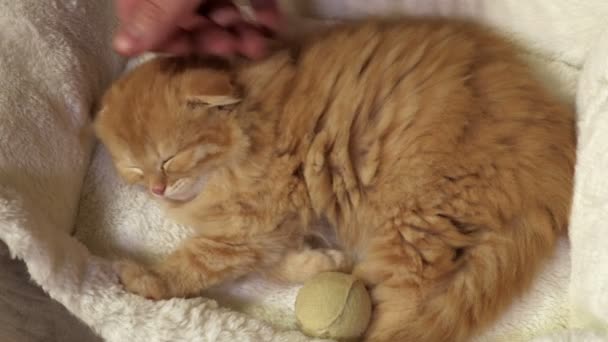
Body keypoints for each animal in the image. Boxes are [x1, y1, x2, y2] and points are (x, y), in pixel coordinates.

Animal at [95, 19, 576, 342]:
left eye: (169, 159)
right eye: (134, 169)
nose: (156, 189)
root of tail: (551, 164)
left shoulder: (248, 226)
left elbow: (197, 264)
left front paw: (146, 280)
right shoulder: (275, 223)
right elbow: (277, 264)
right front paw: (325, 262)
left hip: (415, 222)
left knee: (411, 303)